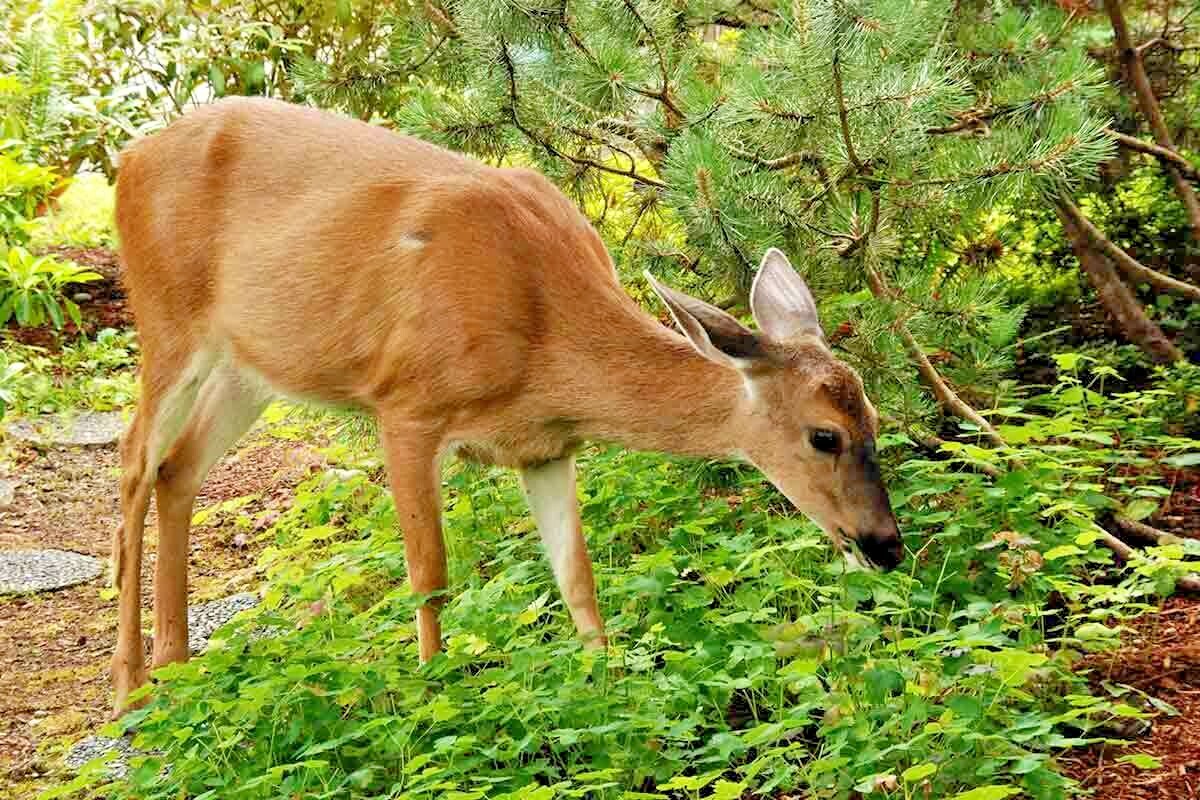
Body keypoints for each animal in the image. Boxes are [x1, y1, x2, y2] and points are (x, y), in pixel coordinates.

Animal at [109, 96, 903, 713]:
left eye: (876, 421)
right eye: (824, 436)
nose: (887, 546)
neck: (543, 338)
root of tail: (130, 156)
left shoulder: (546, 447)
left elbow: (578, 578)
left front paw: (608, 685)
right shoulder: (405, 403)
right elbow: (430, 576)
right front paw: (434, 689)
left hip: (249, 368)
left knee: (179, 468)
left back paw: (178, 665)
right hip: (167, 320)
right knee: (133, 461)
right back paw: (130, 689)